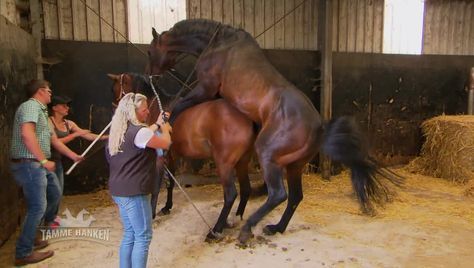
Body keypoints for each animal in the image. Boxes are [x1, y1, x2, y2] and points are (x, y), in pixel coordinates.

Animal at [108, 71, 258, 239]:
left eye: (114, 89)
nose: (114, 111)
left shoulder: (160, 157)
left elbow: (156, 186)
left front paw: (152, 213)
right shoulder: (172, 157)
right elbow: (170, 183)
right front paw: (167, 207)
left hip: (224, 165)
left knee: (231, 194)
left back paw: (216, 230)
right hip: (242, 162)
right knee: (246, 188)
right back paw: (236, 218)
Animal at [146, 19, 402, 245]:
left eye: (151, 50)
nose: (151, 74)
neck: (220, 44)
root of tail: (319, 127)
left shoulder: (206, 89)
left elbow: (180, 104)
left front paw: (167, 121)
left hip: (267, 154)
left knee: (278, 194)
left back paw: (244, 229)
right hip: (294, 166)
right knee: (295, 197)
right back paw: (276, 227)